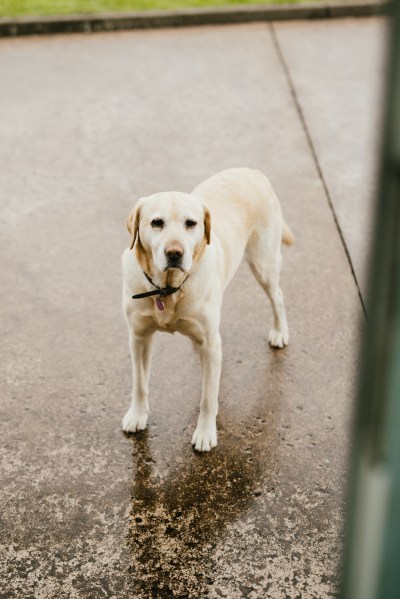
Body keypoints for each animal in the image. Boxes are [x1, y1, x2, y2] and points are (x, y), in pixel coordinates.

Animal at [120, 168, 292, 450]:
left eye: (191, 223)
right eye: (156, 222)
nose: (175, 253)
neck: (168, 290)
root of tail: (250, 170)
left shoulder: (212, 345)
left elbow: (208, 397)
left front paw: (205, 433)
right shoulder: (138, 337)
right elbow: (139, 383)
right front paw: (137, 415)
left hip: (263, 263)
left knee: (277, 295)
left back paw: (280, 332)